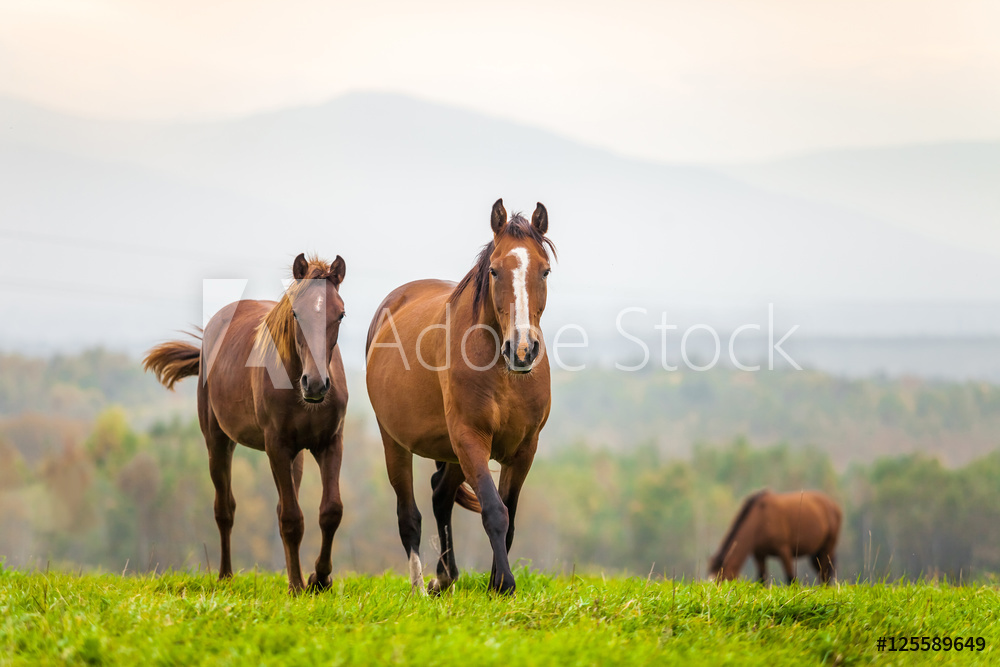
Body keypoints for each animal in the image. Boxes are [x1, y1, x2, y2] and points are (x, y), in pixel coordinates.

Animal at [143, 253, 350, 592]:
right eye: (295, 312)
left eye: (340, 314)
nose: (316, 384)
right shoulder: (276, 447)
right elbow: (291, 519)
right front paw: (297, 585)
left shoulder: (329, 443)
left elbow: (330, 511)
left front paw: (318, 579)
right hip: (218, 442)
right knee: (225, 508)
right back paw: (225, 576)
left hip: (295, 456)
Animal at [366, 197, 556, 596]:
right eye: (495, 271)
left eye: (545, 271)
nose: (522, 350)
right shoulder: (471, 438)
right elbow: (494, 511)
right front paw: (504, 584)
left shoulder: (524, 449)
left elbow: (509, 513)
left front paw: (496, 581)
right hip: (396, 442)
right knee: (409, 515)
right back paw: (419, 589)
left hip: (451, 451)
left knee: (440, 495)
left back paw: (444, 576)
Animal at [708, 490, 840, 584]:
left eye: (722, 580)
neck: (760, 519)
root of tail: (833, 505)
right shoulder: (759, 555)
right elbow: (762, 580)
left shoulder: (784, 551)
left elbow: (791, 578)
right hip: (816, 553)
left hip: (828, 547)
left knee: (825, 573)